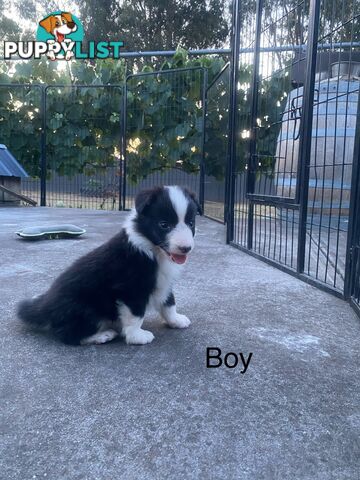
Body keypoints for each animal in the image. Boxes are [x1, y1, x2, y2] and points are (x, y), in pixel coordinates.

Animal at [16, 186, 201, 346]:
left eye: (191, 223)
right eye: (164, 225)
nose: (186, 248)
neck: (153, 250)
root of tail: (45, 305)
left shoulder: (164, 281)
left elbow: (169, 303)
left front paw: (176, 320)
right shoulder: (131, 288)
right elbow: (136, 314)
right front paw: (136, 336)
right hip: (86, 309)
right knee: (68, 335)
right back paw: (102, 336)